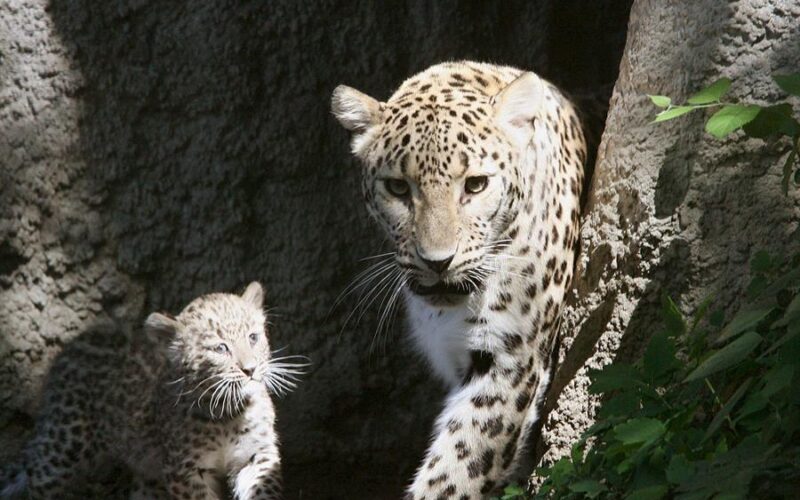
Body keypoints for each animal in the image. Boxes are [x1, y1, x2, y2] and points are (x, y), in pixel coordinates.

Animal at [1, 282, 302, 500]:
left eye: (253, 337)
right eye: (220, 348)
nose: (250, 370)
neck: (227, 414)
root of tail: (72, 345)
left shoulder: (257, 455)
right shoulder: (186, 471)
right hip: (65, 443)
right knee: (38, 475)